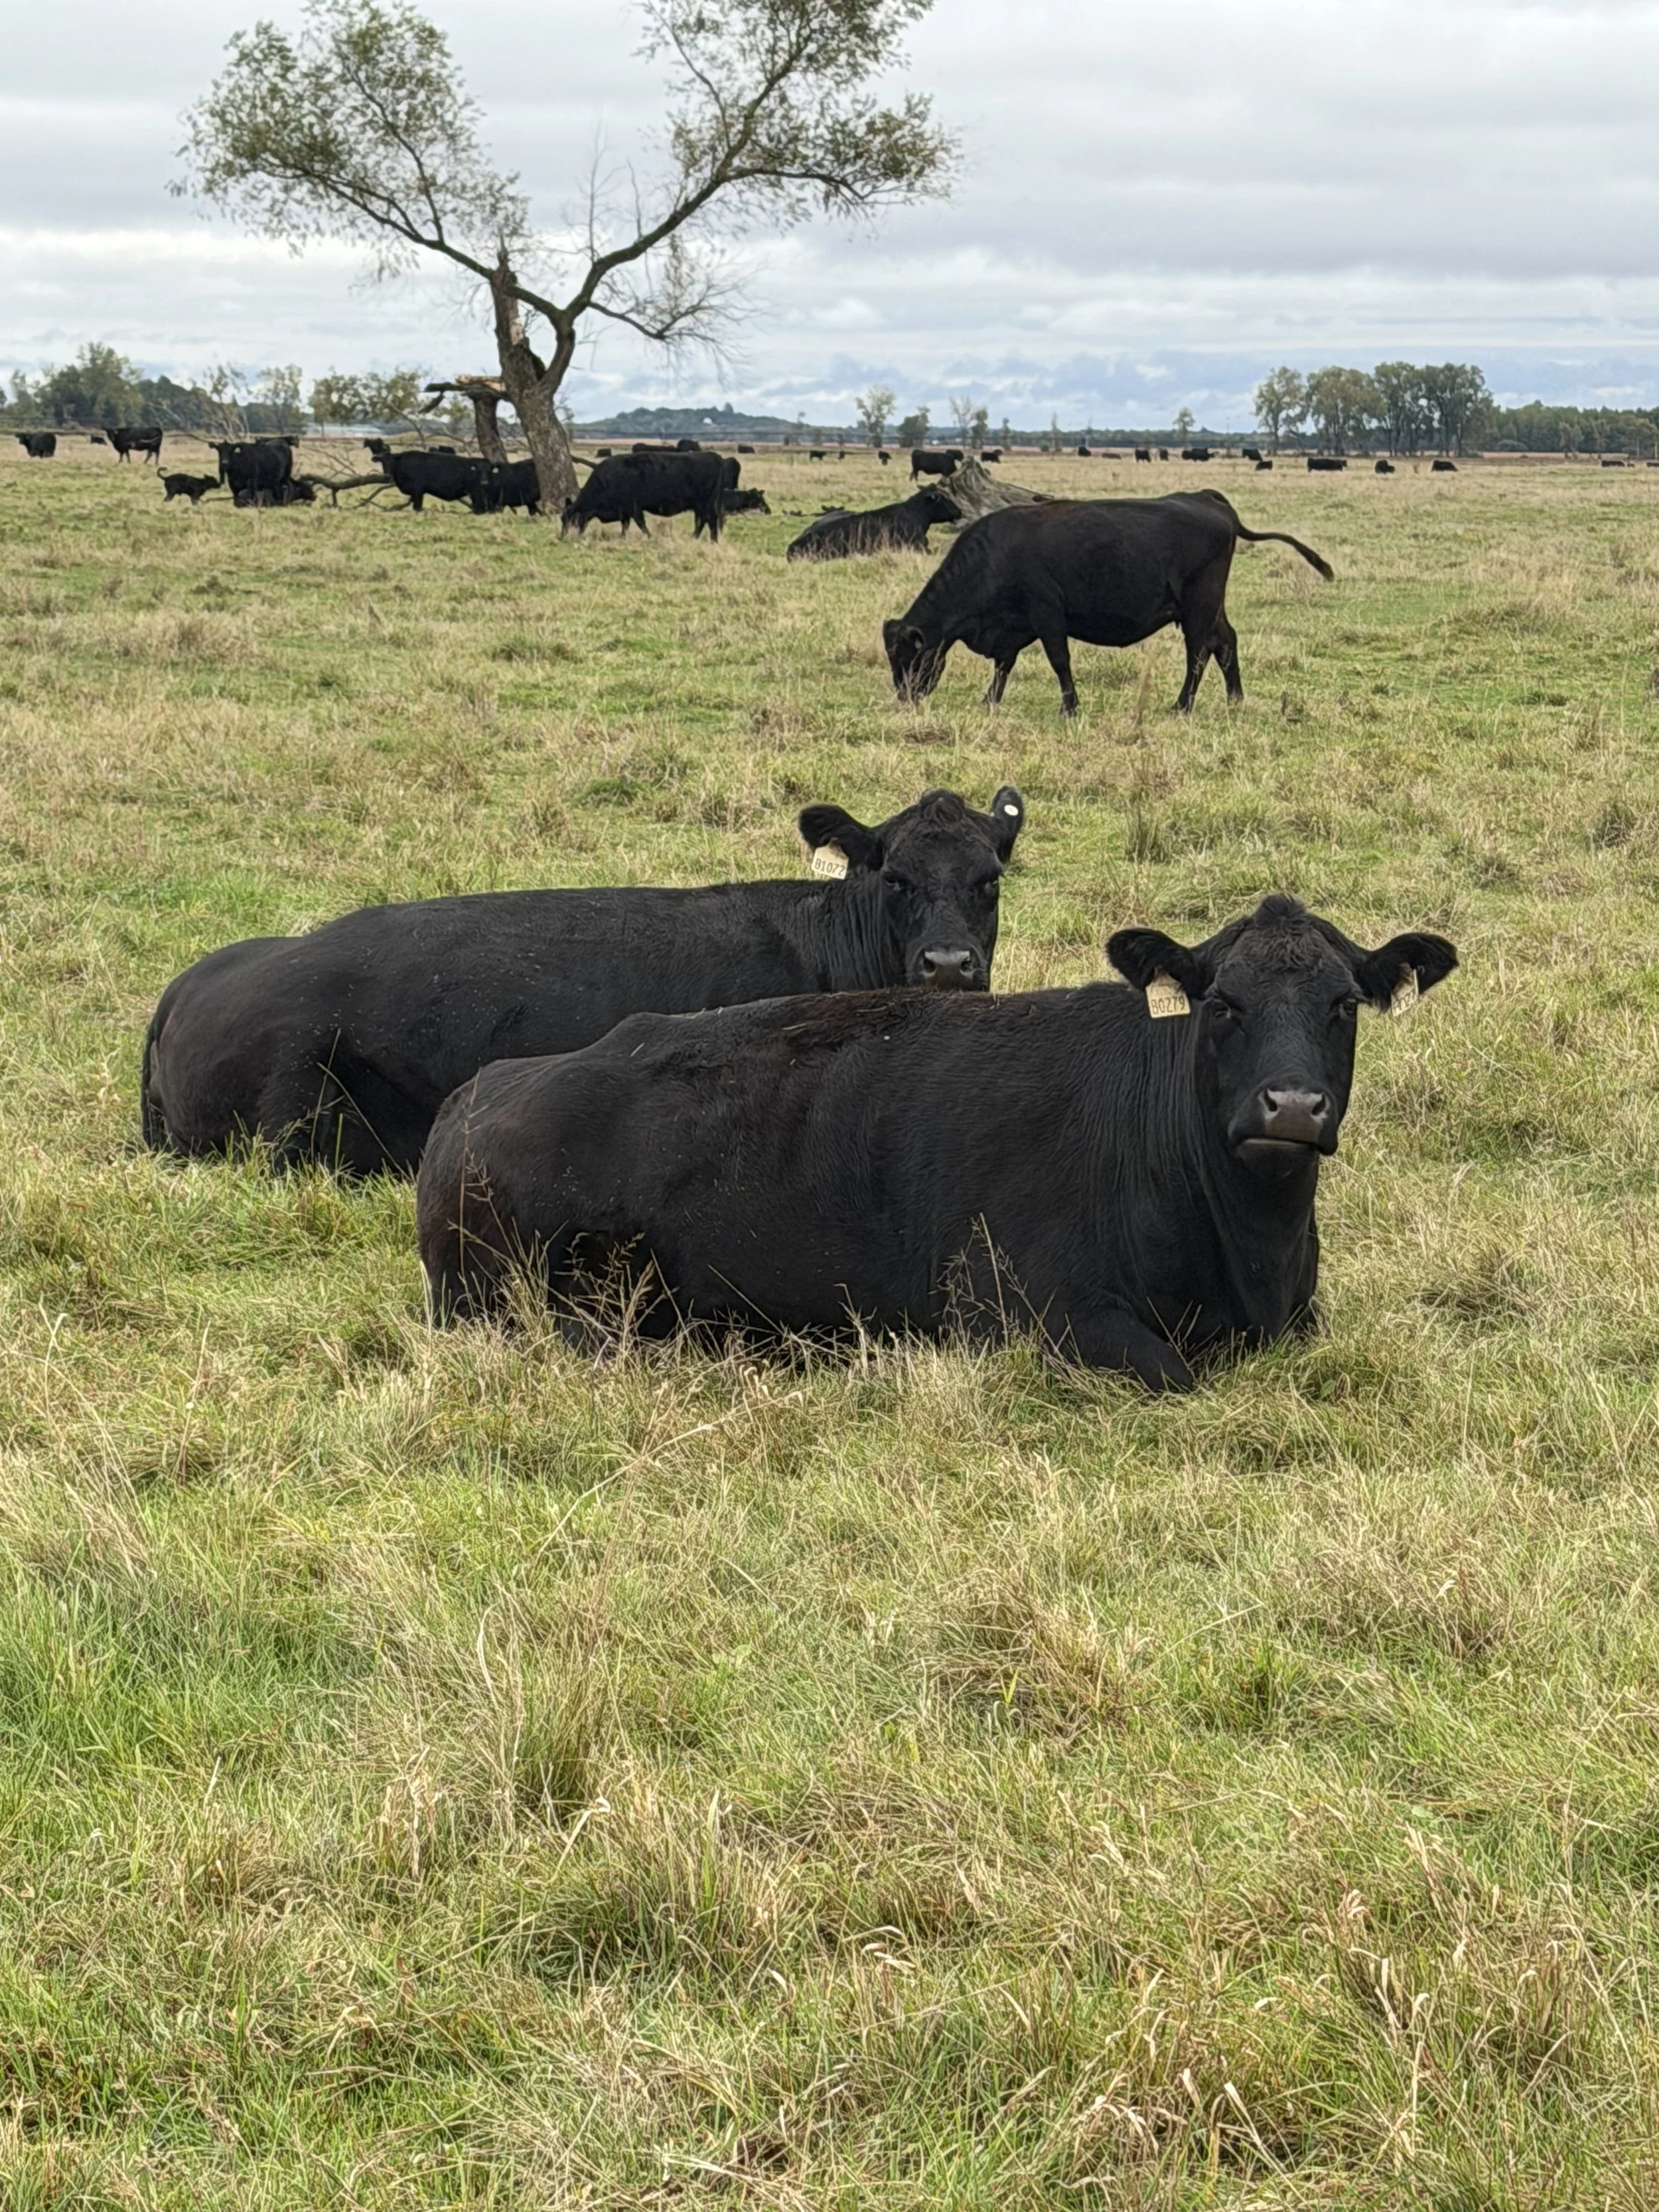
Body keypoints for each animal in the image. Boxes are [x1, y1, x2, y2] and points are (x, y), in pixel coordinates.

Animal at [418, 895, 1457, 1389]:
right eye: (1223, 1004)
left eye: (1343, 1004)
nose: (1291, 1107)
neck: (1246, 1251)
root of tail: (474, 1096)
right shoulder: (1026, 1315)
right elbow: (1175, 1374)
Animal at [882, 490, 1332, 718]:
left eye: (909, 657)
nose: (905, 698)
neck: (993, 556)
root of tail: (1210, 500)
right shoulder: (1015, 626)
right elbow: (1004, 666)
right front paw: (989, 701)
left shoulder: (1047, 615)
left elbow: (1059, 661)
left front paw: (1070, 707)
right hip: (1210, 607)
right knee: (1226, 644)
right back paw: (1235, 699)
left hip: (1198, 608)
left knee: (1200, 653)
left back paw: (1182, 705)